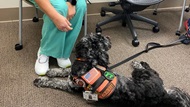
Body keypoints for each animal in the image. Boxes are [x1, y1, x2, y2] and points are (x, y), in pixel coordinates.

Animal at [33, 33, 190, 106]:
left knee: (151, 71)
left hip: (141, 75)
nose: (108, 37)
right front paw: (52, 71)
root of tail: (164, 93)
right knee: (154, 71)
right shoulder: (73, 73)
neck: (89, 62)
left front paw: (41, 80)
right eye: (101, 37)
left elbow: (55, 82)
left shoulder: (71, 86)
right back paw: (140, 61)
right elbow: (65, 71)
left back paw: (137, 62)